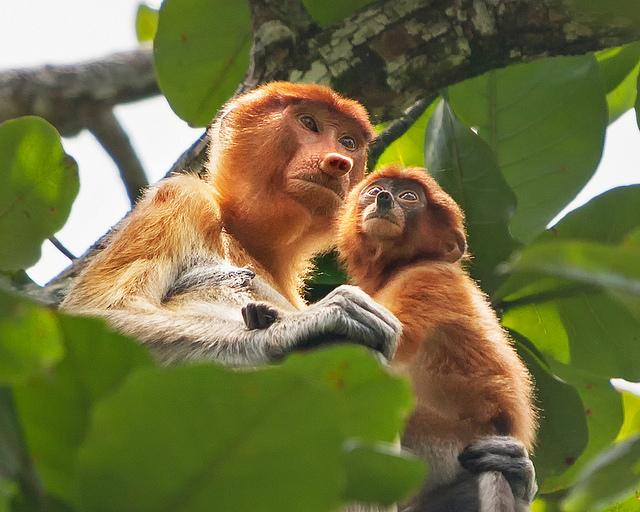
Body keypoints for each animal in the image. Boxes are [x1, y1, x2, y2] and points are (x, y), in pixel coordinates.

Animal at [61, 82, 401, 365]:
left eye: (347, 141)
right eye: (308, 123)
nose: (338, 161)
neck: (241, 233)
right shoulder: (182, 197)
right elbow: (97, 316)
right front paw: (303, 325)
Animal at [334, 164, 537, 511]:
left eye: (408, 197)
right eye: (374, 191)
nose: (384, 198)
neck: (404, 264)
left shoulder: (427, 279)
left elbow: (387, 343)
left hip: (438, 444)